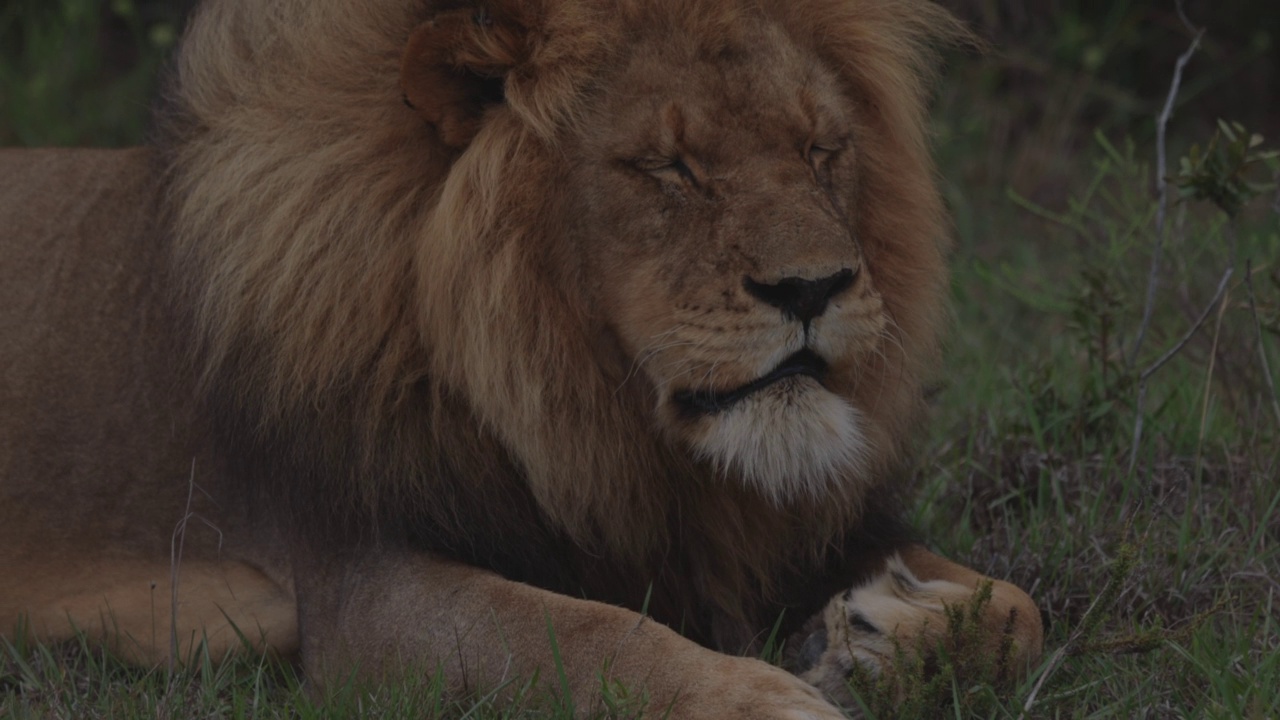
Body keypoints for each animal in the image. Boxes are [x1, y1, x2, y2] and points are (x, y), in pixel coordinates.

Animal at [0, 0, 1039, 712]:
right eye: (669, 168)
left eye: (822, 148)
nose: (814, 288)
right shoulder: (356, 587)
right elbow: (585, 635)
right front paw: (766, 697)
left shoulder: (767, 530)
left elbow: (1025, 609)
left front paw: (878, 633)